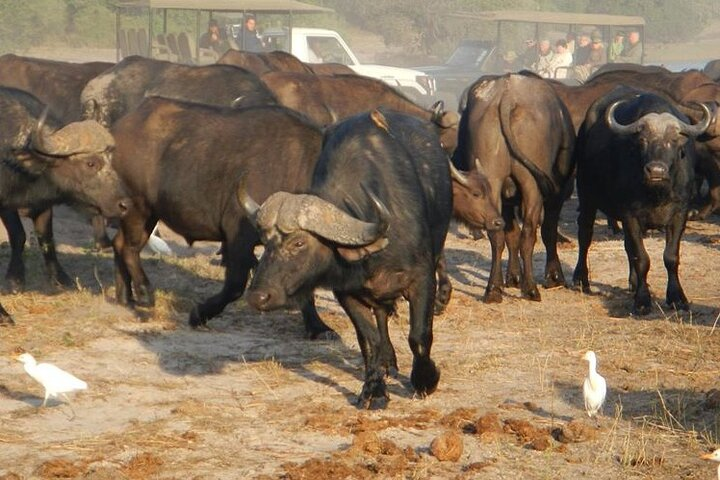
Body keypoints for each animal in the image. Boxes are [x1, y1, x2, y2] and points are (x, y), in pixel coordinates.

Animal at [572, 88, 712, 316]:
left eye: (673, 140)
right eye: (643, 140)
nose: (656, 171)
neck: (657, 193)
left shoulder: (679, 214)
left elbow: (670, 256)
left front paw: (677, 298)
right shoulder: (630, 215)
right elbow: (642, 257)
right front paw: (642, 300)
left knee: (627, 246)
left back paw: (633, 282)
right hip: (586, 196)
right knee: (585, 234)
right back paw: (581, 279)